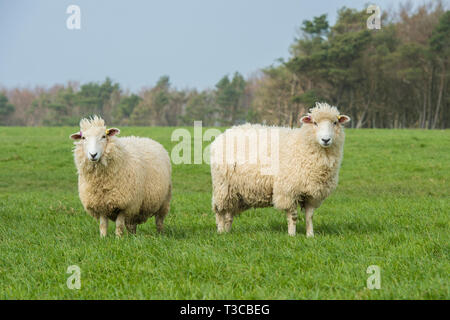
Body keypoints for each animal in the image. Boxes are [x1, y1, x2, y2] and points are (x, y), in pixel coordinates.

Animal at [209, 102, 350, 238]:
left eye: (335, 122)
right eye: (315, 123)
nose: (326, 140)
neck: (303, 146)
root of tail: (223, 134)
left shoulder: (312, 194)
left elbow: (309, 217)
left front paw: (310, 235)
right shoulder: (288, 190)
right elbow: (293, 216)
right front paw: (292, 235)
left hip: (235, 191)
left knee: (229, 213)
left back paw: (227, 231)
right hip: (222, 186)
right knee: (219, 210)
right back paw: (220, 231)